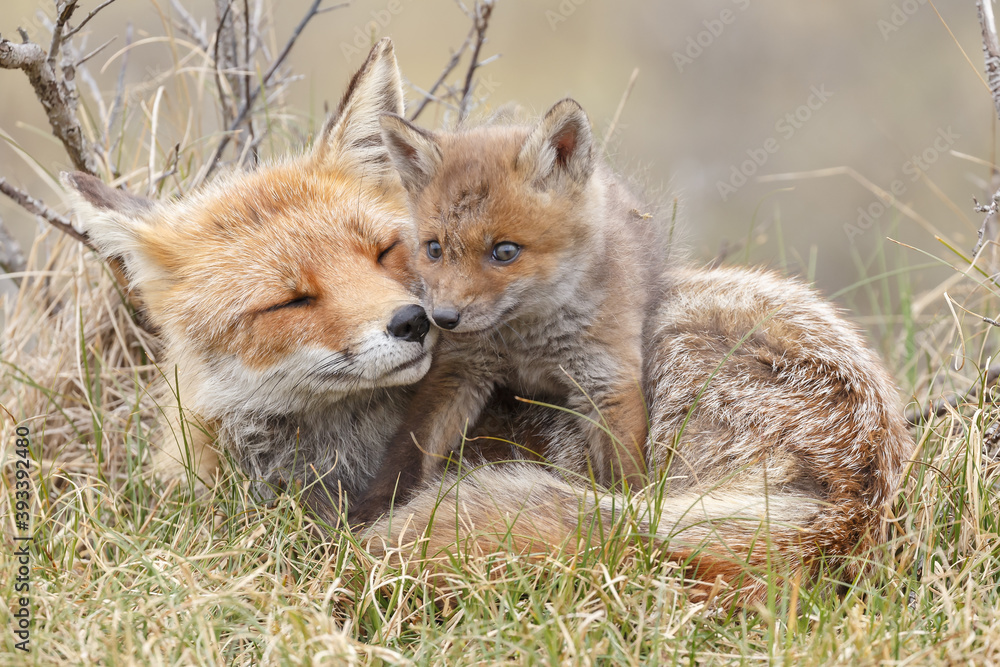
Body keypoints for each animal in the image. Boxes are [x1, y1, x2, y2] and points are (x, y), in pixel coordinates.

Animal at [349, 99, 666, 522]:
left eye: (504, 251)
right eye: (434, 249)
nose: (441, 319)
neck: (527, 341)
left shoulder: (607, 377)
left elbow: (626, 475)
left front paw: (626, 519)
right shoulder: (457, 368)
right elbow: (409, 454)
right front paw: (372, 514)